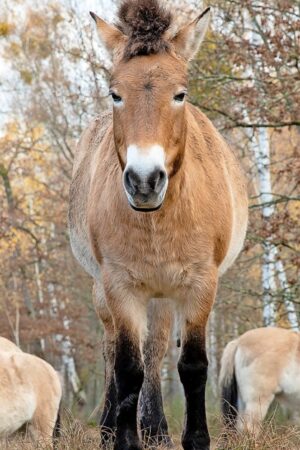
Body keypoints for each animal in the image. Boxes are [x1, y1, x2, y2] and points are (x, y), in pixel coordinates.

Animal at [68, 0, 248, 450]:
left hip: (164, 295)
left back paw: (156, 429)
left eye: (180, 94)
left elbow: (191, 365)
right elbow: (127, 366)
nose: (145, 180)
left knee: (156, 347)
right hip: (107, 291)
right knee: (115, 350)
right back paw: (112, 427)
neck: (160, 220)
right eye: (115, 94)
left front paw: (193, 438)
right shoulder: (119, 284)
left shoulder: (200, 283)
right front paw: (123, 439)